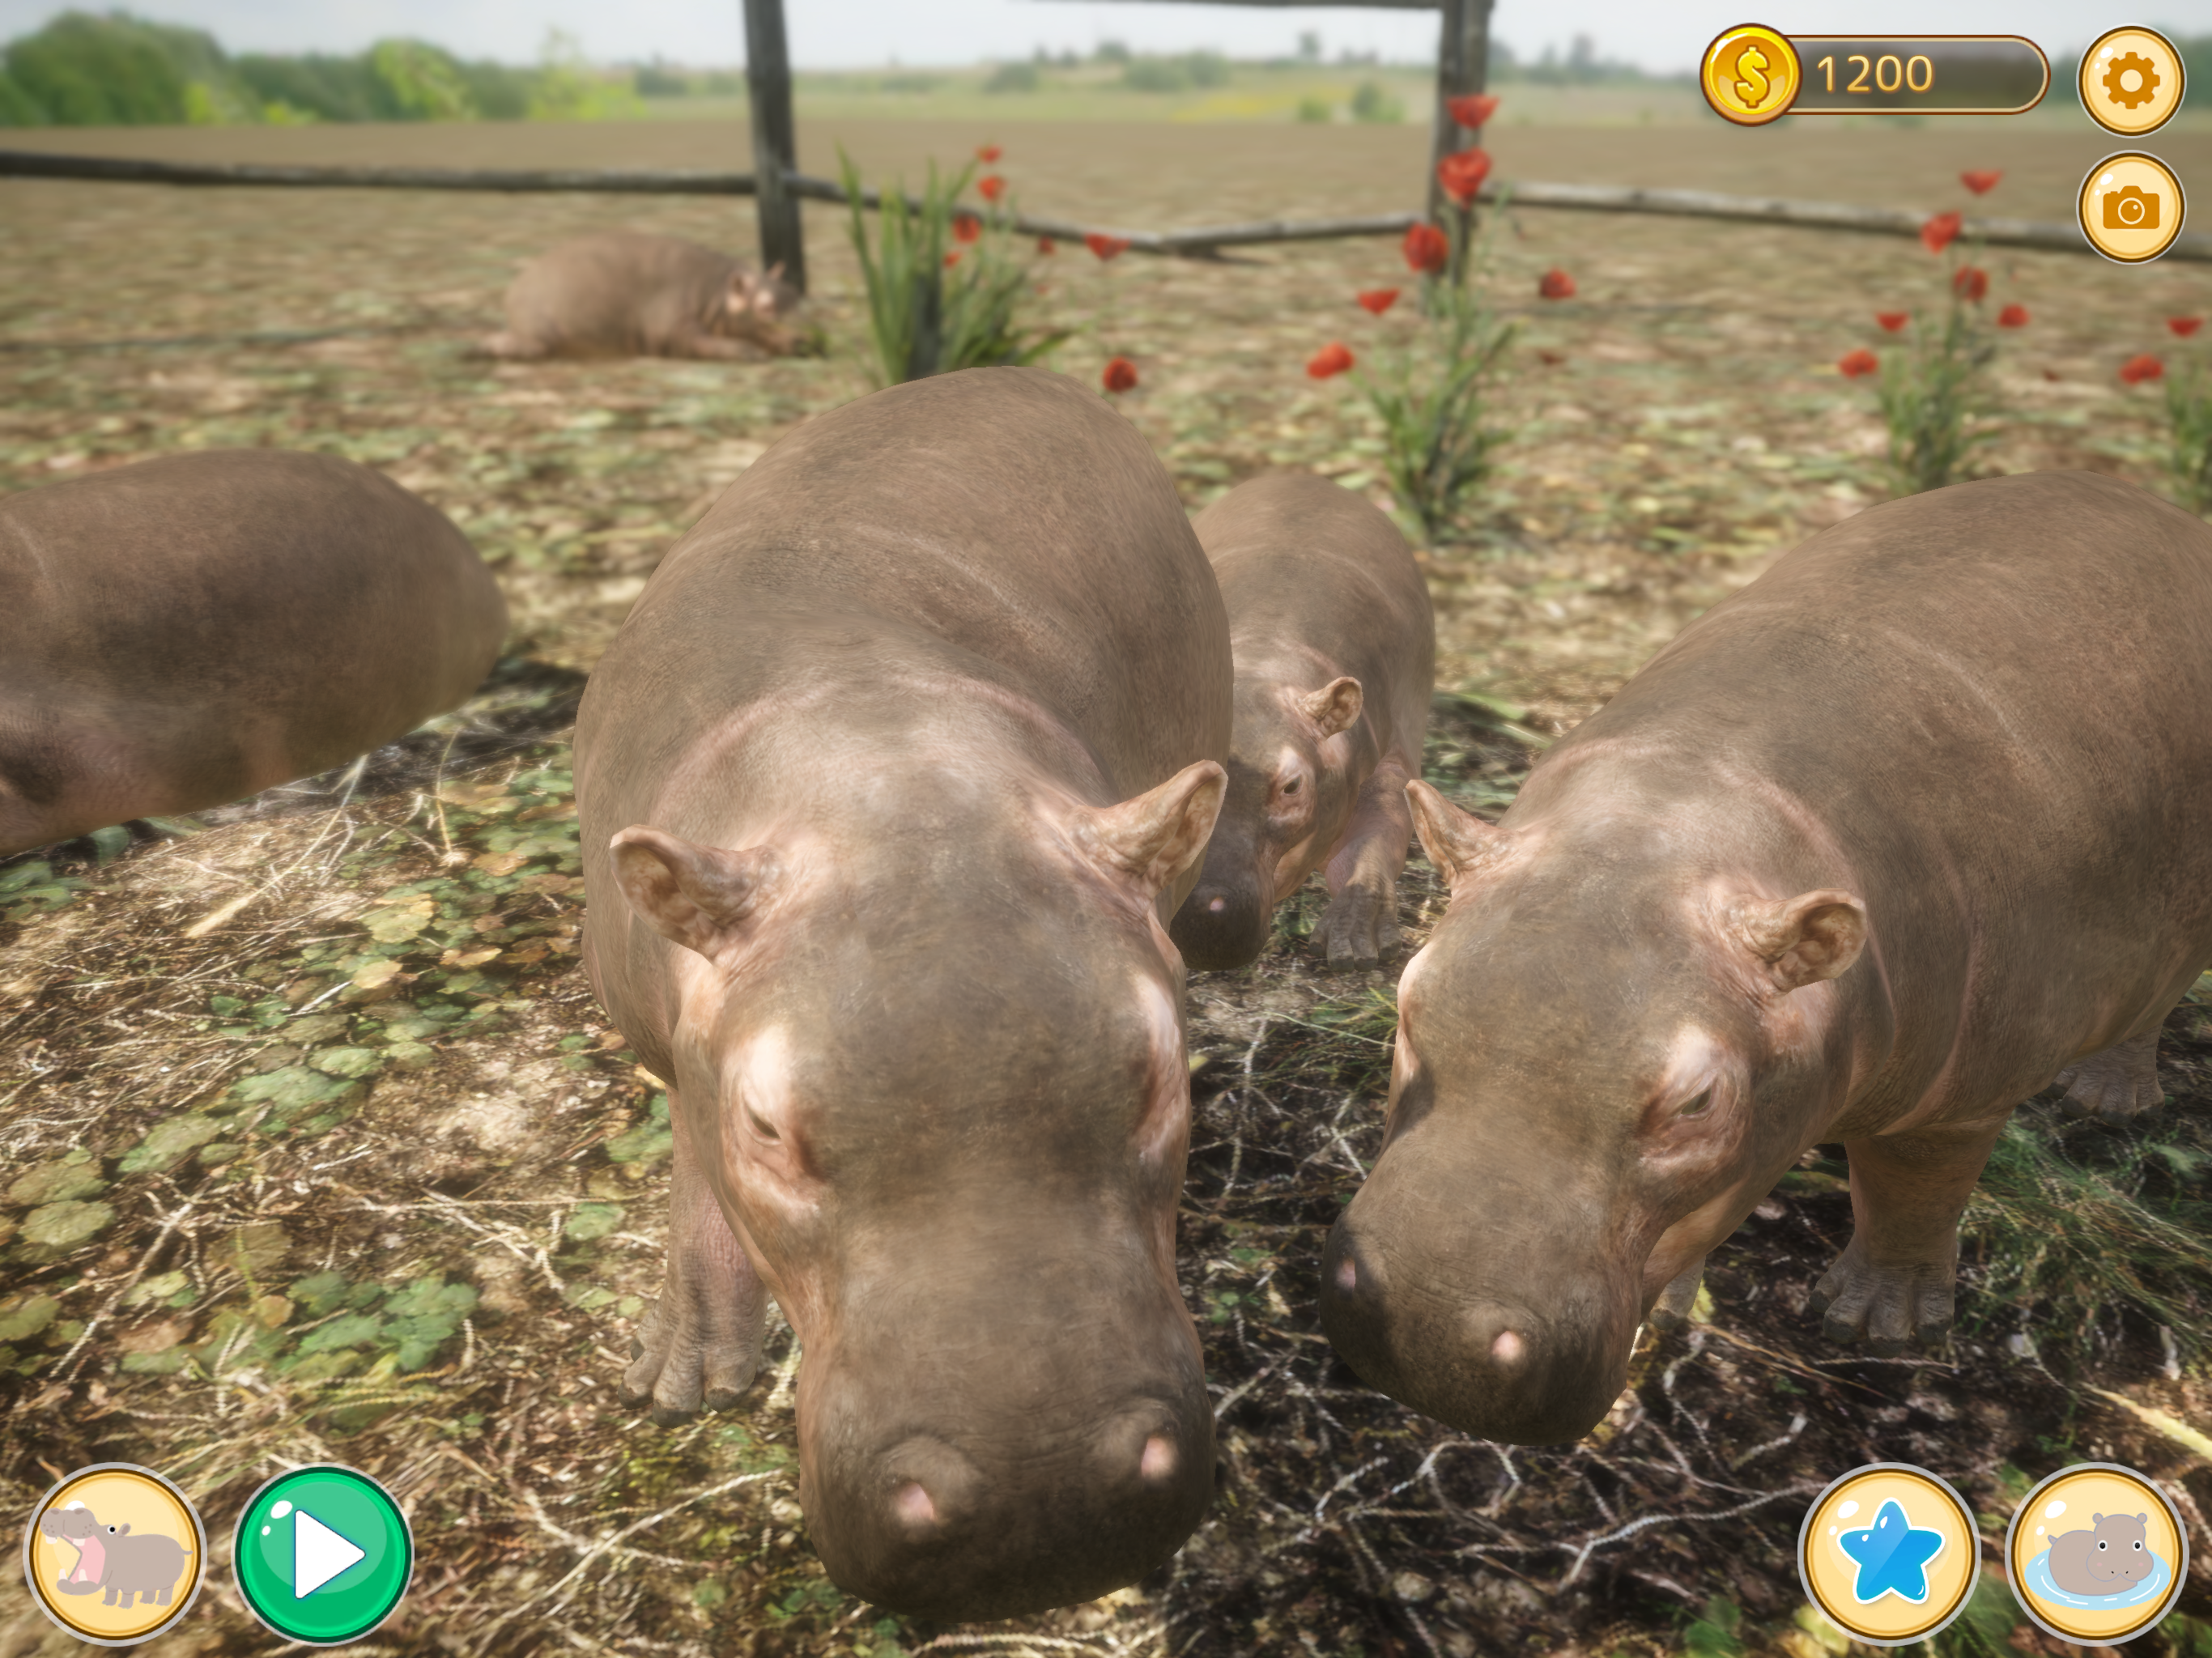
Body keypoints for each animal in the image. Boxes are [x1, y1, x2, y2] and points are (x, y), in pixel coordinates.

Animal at [39, 1504, 188, 1609]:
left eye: (112, 1529)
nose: (67, 1512)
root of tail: (181, 1548)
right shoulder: (111, 1583)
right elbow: (111, 1592)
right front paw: (106, 1604)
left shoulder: (130, 1582)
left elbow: (127, 1594)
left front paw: (124, 1608)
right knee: (150, 1588)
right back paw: (145, 1603)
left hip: (168, 1579)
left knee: (167, 1588)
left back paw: (162, 1604)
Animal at [484, 231, 800, 361]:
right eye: (765, 306)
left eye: (796, 294)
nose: (802, 338)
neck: (716, 292)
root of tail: (517, 282)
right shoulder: (670, 319)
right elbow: (697, 340)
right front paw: (748, 352)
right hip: (537, 320)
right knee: (534, 343)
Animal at [576, 366, 1234, 1619]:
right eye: (765, 1126)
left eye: (1158, 1077)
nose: (1043, 1500)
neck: (877, 747)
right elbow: (687, 1150)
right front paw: (680, 1382)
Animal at [1168, 473, 1435, 971]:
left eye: (1292, 786)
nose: (1202, 911)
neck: (1265, 656)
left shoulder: (1388, 750)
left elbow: (1378, 832)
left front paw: (1356, 943)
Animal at [1319, 472, 2212, 1444]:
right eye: (1409, 1004)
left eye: (1698, 1100)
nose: (1426, 1329)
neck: (1682, 809)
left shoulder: (1964, 1092)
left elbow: (1916, 1189)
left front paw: (1871, 1325)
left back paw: (2104, 1098)